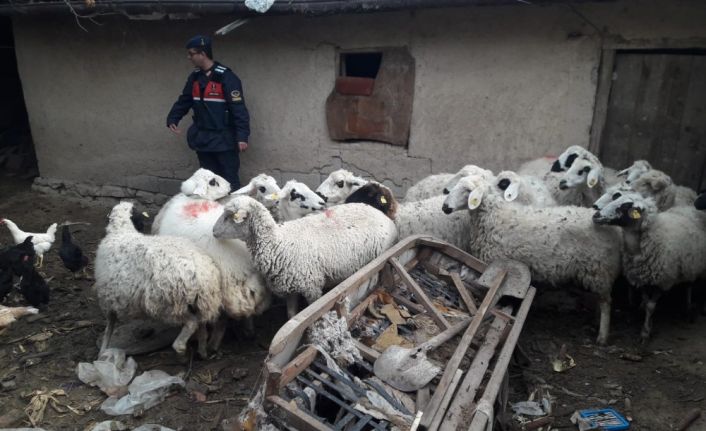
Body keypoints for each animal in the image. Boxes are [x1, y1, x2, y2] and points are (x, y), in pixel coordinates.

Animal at [93, 202, 220, 358]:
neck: (121, 232)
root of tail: (203, 276)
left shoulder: (108, 299)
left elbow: (109, 327)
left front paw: (102, 351)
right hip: (197, 304)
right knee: (201, 326)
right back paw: (202, 352)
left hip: (168, 305)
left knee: (192, 323)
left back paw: (180, 348)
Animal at [212, 197, 396, 318]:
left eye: (228, 217)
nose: (213, 231)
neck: (278, 242)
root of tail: (384, 216)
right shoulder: (290, 287)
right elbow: (291, 315)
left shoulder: (312, 287)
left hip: (377, 260)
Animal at [442, 174, 620, 346]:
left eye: (467, 190)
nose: (445, 207)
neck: (494, 216)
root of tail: (614, 229)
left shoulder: (495, 262)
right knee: (601, 300)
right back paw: (595, 321)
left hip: (599, 268)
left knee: (606, 302)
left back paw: (602, 335)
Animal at [592, 192, 704, 340]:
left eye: (624, 207)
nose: (596, 215)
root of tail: (690, 208)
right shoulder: (641, 278)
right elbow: (645, 301)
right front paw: (643, 315)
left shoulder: (663, 281)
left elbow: (651, 306)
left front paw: (645, 333)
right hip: (689, 264)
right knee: (689, 284)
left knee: (692, 285)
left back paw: (691, 308)